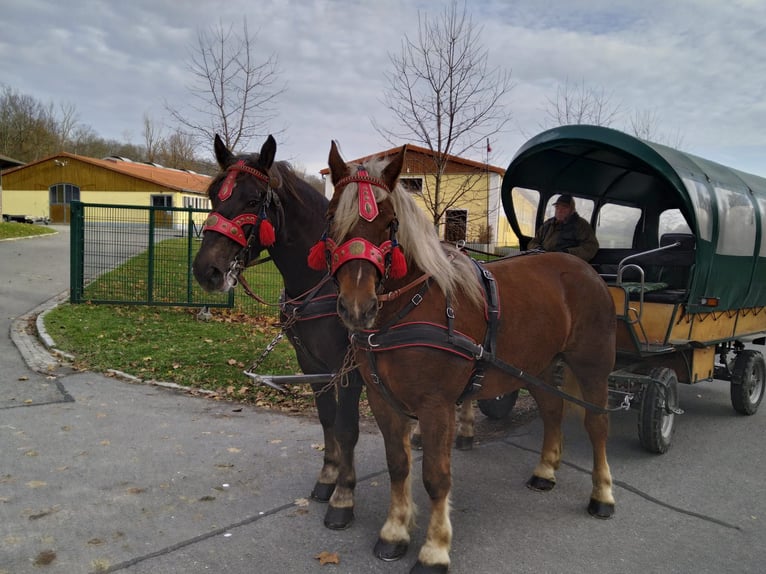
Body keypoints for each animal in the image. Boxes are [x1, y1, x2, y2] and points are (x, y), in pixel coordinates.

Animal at [320, 142, 620, 572]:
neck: (410, 307)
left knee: (597, 425)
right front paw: (394, 531)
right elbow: (398, 464)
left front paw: (434, 548)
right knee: (552, 411)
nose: (357, 307)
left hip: (593, 365)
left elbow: (435, 476)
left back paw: (602, 494)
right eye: (331, 219)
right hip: (538, 366)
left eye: (391, 223)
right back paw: (546, 469)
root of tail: (583, 268)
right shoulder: (381, 399)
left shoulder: (436, 405)